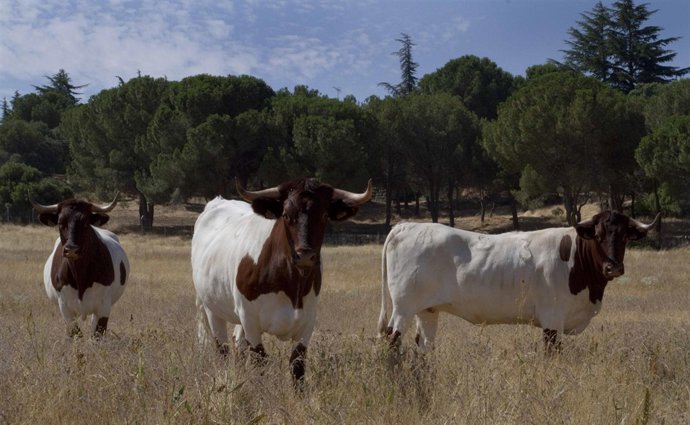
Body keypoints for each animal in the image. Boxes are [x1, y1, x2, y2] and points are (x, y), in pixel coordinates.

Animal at [31, 194, 130, 338]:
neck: (80, 275)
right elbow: (75, 334)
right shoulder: (65, 309)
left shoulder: (104, 307)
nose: (71, 249)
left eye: (85, 222)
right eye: (60, 223)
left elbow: (97, 335)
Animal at [192, 177, 373, 385]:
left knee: (238, 343)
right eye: (286, 215)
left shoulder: (307, 323)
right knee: (222, 348)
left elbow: (297, 366)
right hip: (211, 308)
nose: (305, 255)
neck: (290, 284)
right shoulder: (251, 321)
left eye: (324, 215)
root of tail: (218, 201)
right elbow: (259, 363)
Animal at [378, 211, 660, 353]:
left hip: (427, 310)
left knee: (423, 348)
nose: (613, 267)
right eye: (598, 235)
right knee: (392, 340)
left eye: (624, 236)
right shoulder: (552, 320)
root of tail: (405, 226)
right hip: (403, 308)